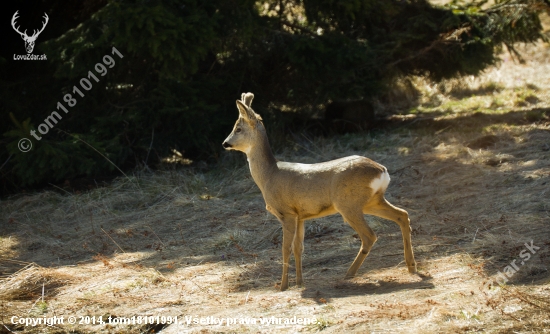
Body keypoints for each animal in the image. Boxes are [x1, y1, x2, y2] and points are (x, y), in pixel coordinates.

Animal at [222, 92, 416, 290]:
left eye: (238, 128)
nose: (225, 143)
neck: (269, 175)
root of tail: (382, 170)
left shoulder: (287, 213)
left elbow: (285, 249)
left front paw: (283, 286)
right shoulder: (300, 216)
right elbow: (298, 248)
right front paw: (300, 282)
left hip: (348, 204)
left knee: (370, 235)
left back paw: (349, 273)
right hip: (371, 201)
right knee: (402, 214)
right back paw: (411, 266)